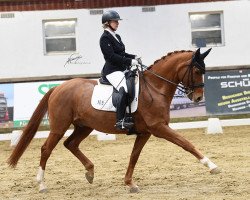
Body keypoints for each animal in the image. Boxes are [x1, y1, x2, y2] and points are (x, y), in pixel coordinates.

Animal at [7, 47, 221, 193]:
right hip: (59, 126)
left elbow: (134, 156)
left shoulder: (145, 132)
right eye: (196, 71)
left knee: (71, 144)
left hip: (84, 126)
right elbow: (186, 144)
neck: (155, 88)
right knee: (46, 149)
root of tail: (58, 87)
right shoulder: (159, 127)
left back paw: (90, 172)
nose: (198, 98)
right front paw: (212, 166)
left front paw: (130, 183)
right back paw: (42, 184)